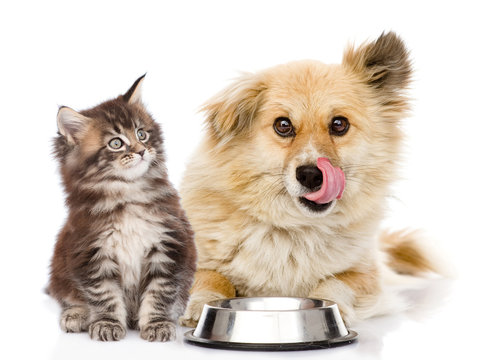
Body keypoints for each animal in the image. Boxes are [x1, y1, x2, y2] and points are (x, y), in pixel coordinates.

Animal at [47, 75, 195, 340]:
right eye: (116, 143)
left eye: (141, 133)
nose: (142, 150)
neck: (127, 196)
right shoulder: (91, 252)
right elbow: (104, 295)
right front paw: (107, 323)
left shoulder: (168, 245)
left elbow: (159, 292)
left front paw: (157, 324)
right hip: (60, 272)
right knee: (70, 298)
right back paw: (76, 315)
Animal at [180, 33, 436, 326]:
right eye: (283, 125)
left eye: (339, 124)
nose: (311, 175)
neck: (294, 228)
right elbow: (210, 277)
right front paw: (200, 304)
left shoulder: (366, 275)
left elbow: (335, 282)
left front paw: (333, 308)